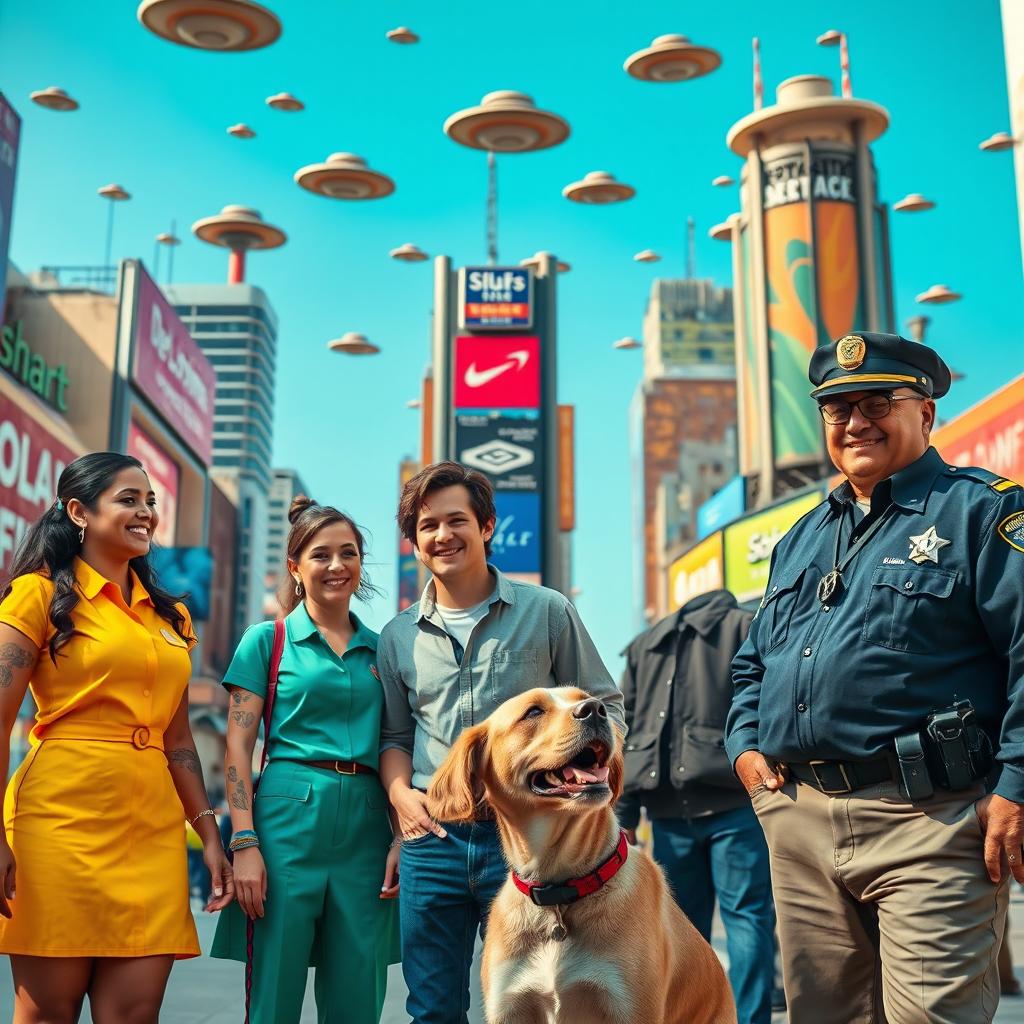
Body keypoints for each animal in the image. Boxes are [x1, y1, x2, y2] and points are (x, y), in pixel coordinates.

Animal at [425, 688, 737, 1024]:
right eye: (533, 712)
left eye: (584, 697)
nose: (595, 709)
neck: (559, 890)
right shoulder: (509, 1005)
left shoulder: (629, 1007)